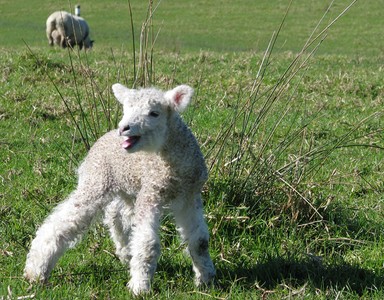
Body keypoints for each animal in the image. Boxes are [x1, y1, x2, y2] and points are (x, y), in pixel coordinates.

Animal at [24, 83, 216, 294]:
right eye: (126, 109)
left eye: (154, 113)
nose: (124, 128)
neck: (173, 166)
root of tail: (104, 137)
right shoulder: (150, 193)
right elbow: (148, 245)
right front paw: (140, 287)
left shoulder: (190, 196)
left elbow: (200, 242)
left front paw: (206, 279)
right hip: (96, 180)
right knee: (60, 223)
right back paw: (36, 271)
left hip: (127, 187)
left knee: (115, 215)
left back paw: (125, 253)